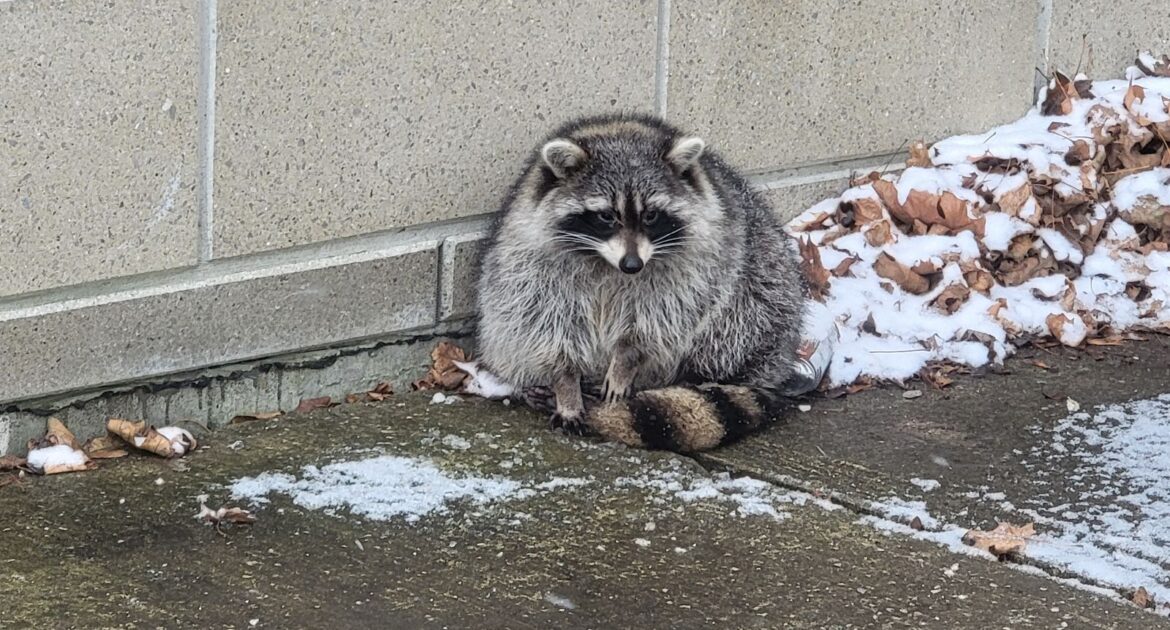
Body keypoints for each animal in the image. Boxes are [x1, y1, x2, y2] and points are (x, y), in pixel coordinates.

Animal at [470, 110, 809, 449]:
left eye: (651, 216)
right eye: (607, 216)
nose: (632, 265)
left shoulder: (697, 266)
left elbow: (658, 321)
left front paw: (626, 359)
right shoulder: (530, 263)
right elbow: (546, 326)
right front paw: (566, 383)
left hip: (765, 289)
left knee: (734, 325)